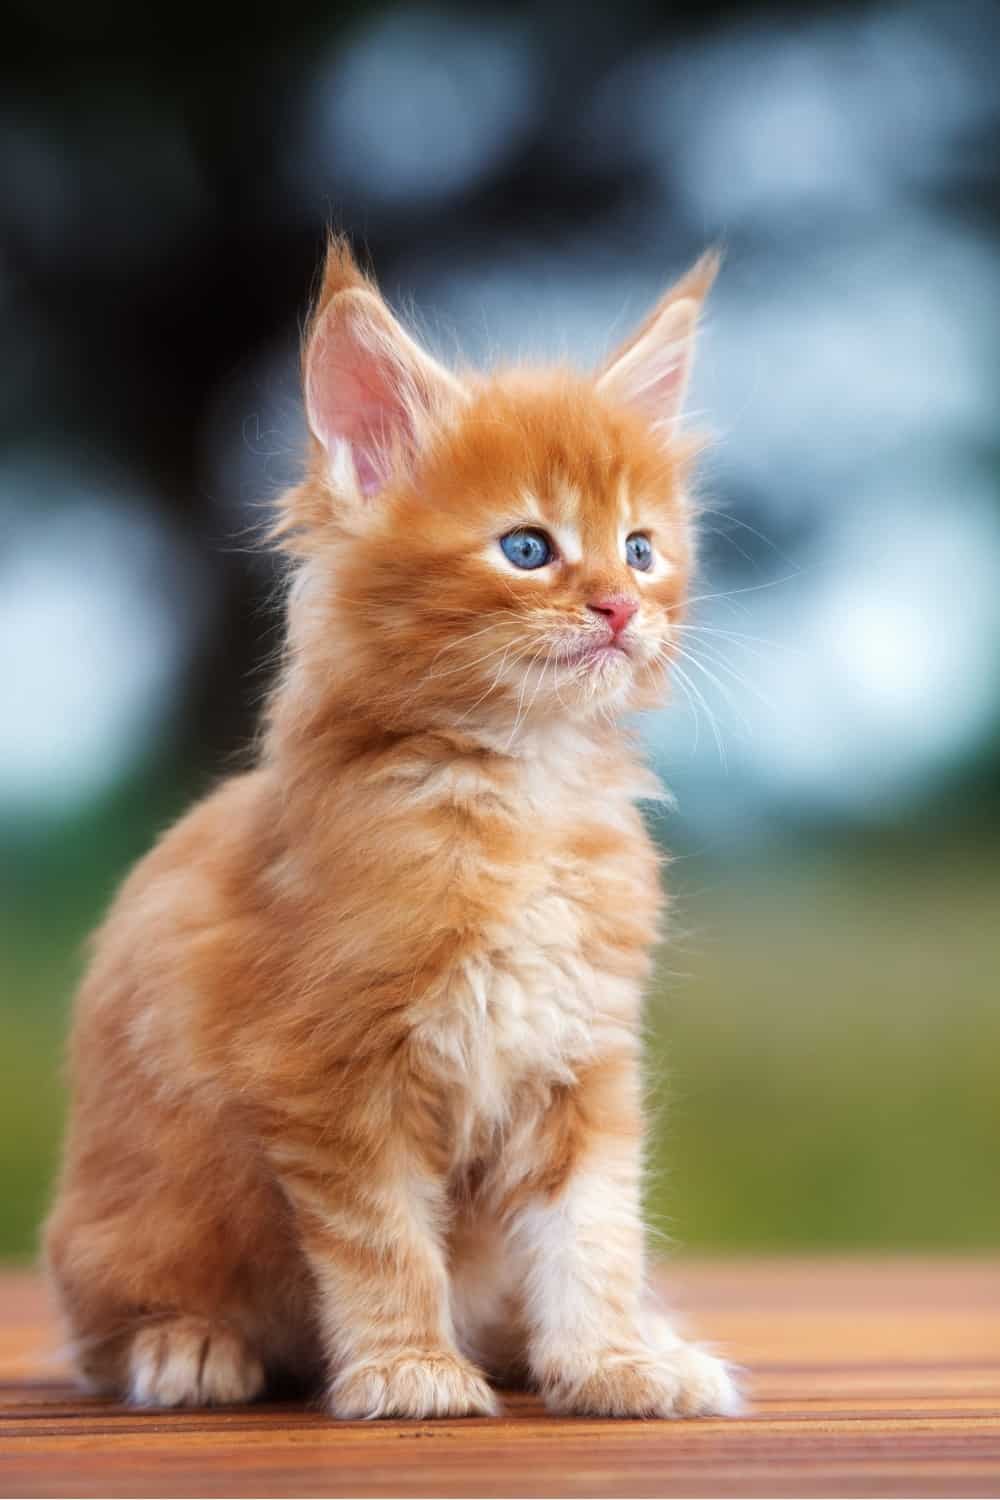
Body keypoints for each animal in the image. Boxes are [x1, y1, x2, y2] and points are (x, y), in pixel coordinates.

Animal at [43, 237, 740, 1416]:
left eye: (642, 550)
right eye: (527, 548)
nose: (619, 607)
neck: (521, 793)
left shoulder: (582, 1061)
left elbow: (592, 1234)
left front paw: (611, 1360)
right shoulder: (328, 1076)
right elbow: (383, 1245)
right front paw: (411, 1368)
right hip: (123, 1223)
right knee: (107, 1328)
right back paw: (187, 1347)